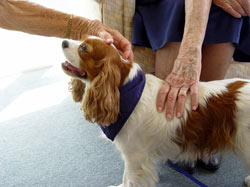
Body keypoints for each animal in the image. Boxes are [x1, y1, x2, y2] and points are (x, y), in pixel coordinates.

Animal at [61, 35, 250, 186]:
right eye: (81, 39)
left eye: (84, 48)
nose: (63, 41)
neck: (124, 91)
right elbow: (126, 177)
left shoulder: (135, 156)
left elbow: (129, 179)